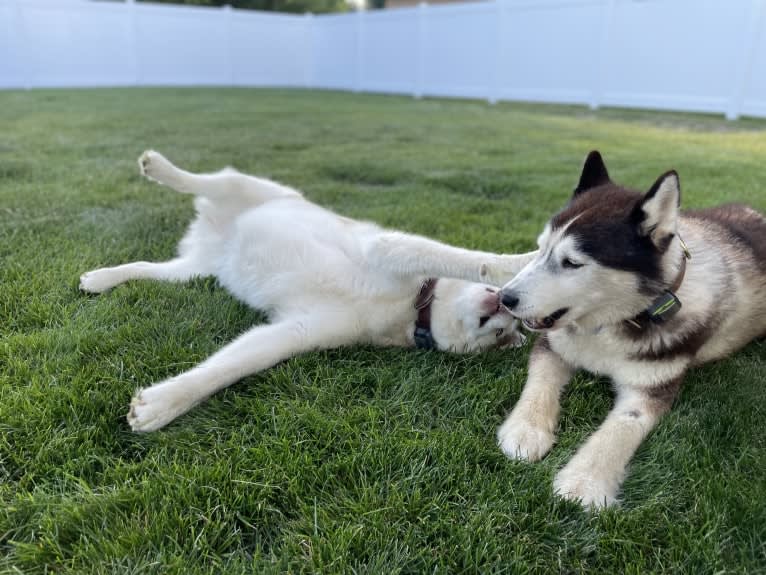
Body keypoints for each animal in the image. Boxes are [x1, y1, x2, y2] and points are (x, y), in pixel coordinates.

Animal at [78, 153, 536, 432]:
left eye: (501, 333)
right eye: (501, 322)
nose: (501, 305)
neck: (409, 308)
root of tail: (217, 233)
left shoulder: (298, 330)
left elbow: (232, 366)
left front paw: (165, 402)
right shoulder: (386, 248)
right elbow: (472, 259)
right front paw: (523, 261)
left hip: (191, 271)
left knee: (147, 268)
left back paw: (101, 278)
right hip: (247, 189)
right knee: (209, 179)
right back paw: (161, 168)